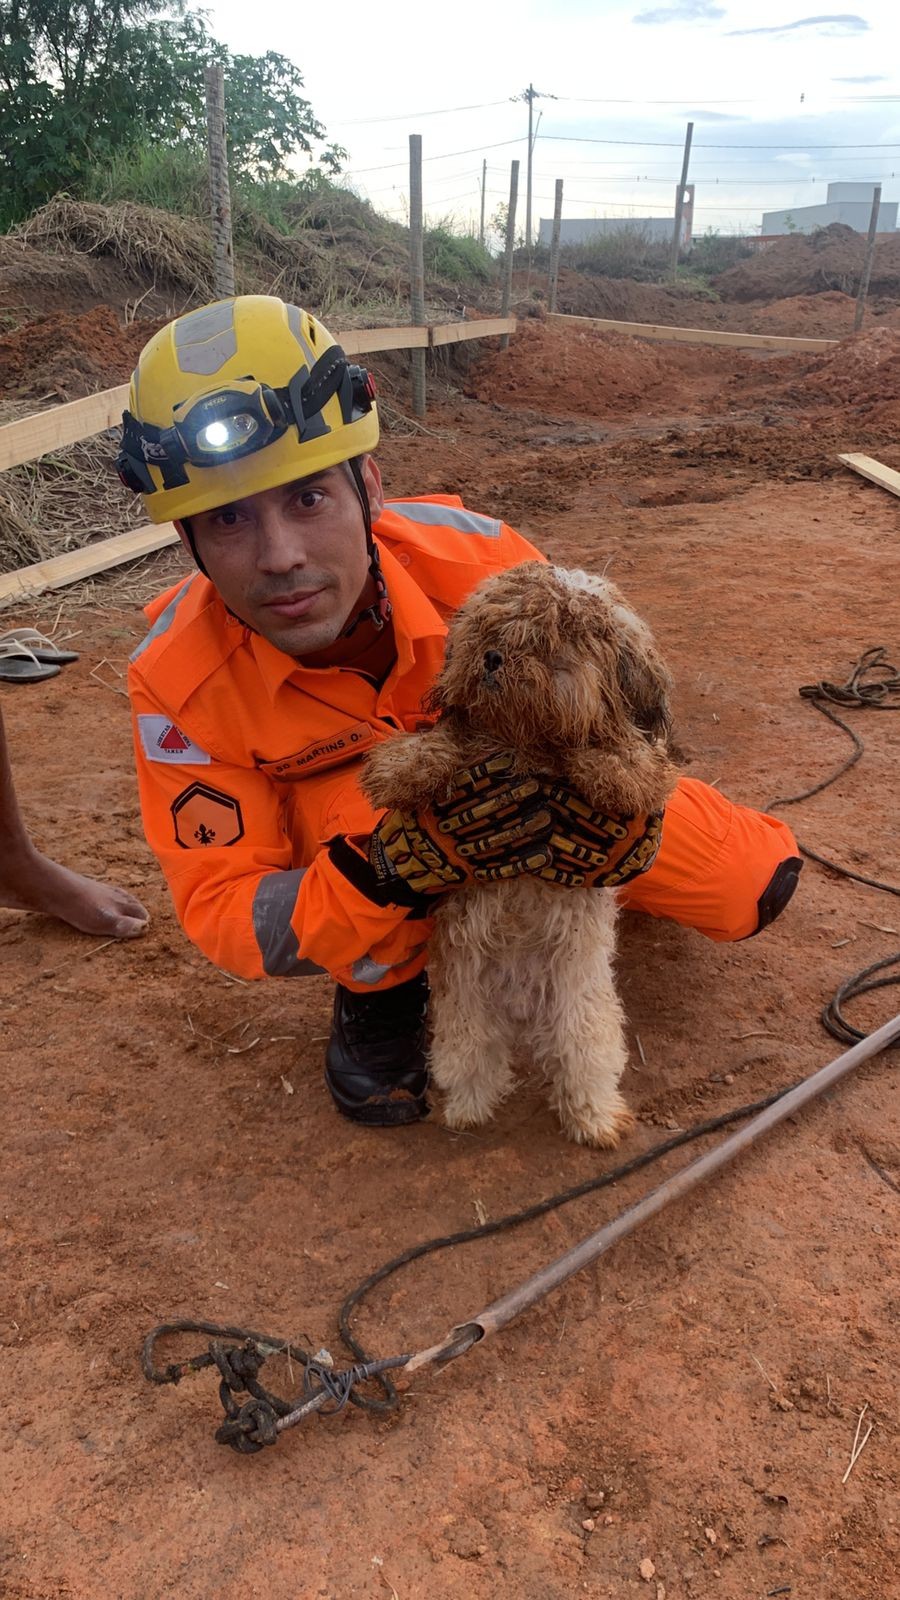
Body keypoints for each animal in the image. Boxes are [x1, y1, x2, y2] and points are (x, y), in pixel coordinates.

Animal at [360, 569, 675, 1145]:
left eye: (547, 643)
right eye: (492, 633)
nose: (491, 657)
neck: (524, 745)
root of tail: (522, 1008)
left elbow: (626, 757)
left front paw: (614, 771)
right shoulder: (467, 744)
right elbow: (441, 740)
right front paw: (403, 768)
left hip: (582, 1012)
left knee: (583, 1061)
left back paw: (595, 1118)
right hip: (464, 1012)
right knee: (472, 1061)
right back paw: (466, 1110)